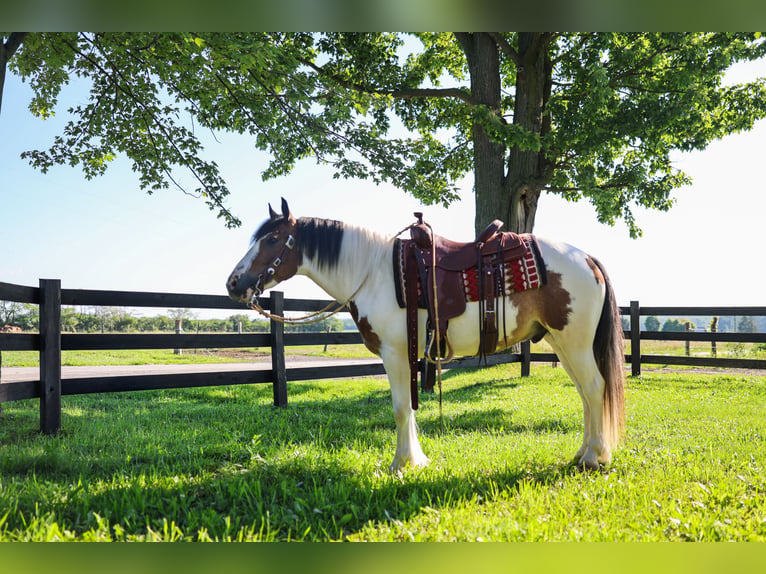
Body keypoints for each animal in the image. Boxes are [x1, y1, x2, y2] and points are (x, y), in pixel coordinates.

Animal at [226, 198, 625, 471]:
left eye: (273, 239)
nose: (234, 283)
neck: (372, 271)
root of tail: (587, 258)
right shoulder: (408, 353)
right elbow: (410, 407)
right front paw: (415, 459)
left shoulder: (394, 353)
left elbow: (401, 408)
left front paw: (401, 463)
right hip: (562, 343)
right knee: (586, 393)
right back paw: (583, 452)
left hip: (574, 342)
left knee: (594, 388)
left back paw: (595, 457)